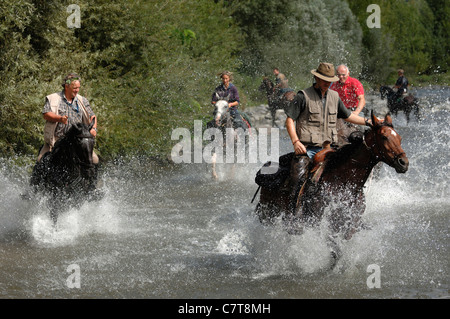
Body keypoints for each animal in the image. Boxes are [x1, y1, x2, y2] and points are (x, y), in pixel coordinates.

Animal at [255, 112, 410, 268]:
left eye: (400, 138)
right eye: (384, 137)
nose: (403, 163)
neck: (344, 183)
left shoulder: (348, 223)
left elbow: (343, 242)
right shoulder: (319, 222)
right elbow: (334, 249)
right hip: (269, 214)